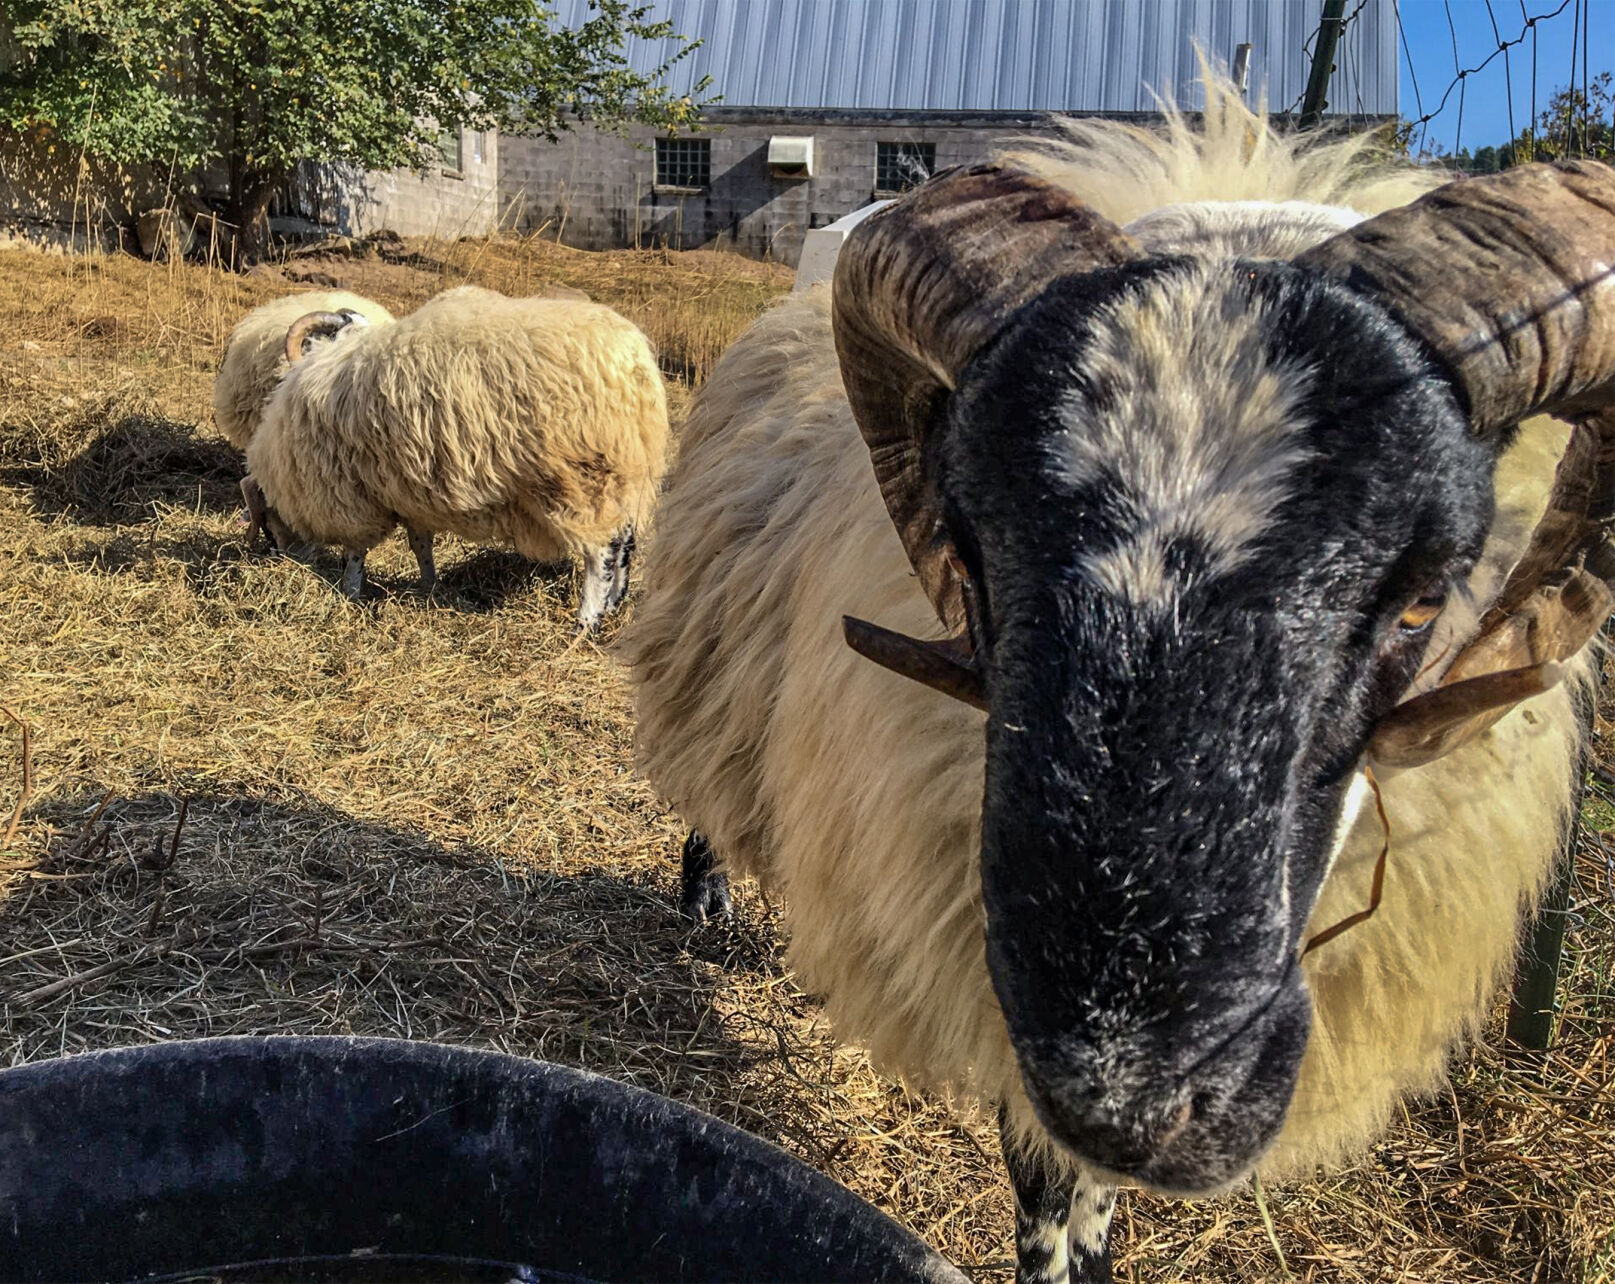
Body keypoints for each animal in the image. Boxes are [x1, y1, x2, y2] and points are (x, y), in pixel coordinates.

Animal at [240, 284, 669, 629]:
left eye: (268, 524)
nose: (284, 559)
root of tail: (633, 363)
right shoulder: (408, 492)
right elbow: (420, 543)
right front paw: (431, 585)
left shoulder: (352, 496)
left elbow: (356, 552)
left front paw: (350, 593)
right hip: (623, 473)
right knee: (626, 538)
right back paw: (614, 604)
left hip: (577, 477)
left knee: (601, 551)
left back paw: (587, 620)